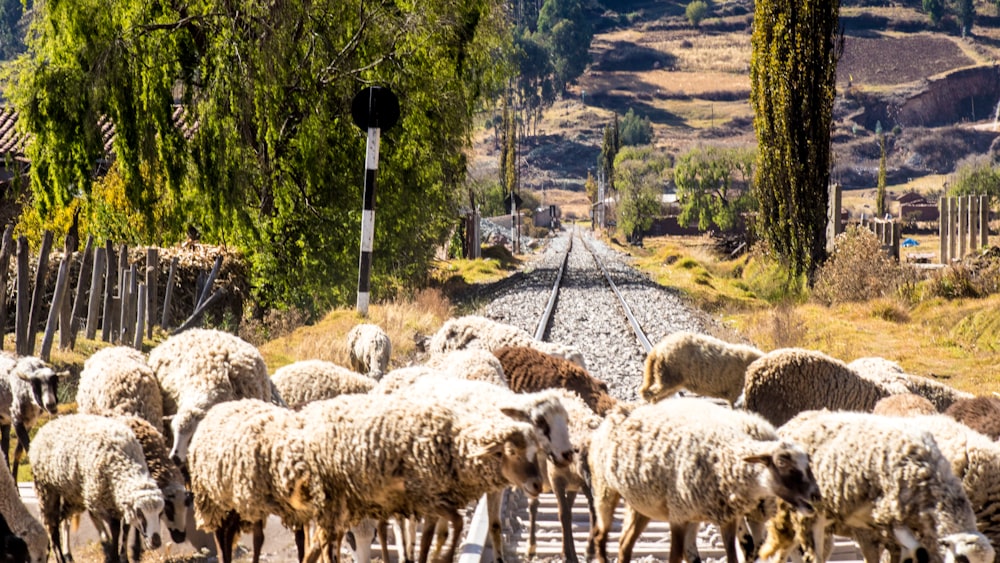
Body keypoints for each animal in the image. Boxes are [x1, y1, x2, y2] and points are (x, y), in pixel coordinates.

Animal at [29, 414, 164, 563]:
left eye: (160, 513)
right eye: (140, 514)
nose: (156, 542)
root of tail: (48, 425)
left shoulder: (119, 504)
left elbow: (125, 529)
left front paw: (123, 556)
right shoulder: (100, 502)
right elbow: (115, 529)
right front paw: (113, 555)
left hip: (74, 495)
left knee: (62, 518)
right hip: (46, 489)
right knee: (51, 525)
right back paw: (59, 557)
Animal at [584, 398, 820, 563]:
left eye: (809, 465)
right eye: (783, 464)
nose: (816, 495)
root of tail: (617, 411)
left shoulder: (728, 518)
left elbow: (736, 555)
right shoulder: (679, 515)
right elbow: (676, 557)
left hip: (641, 504)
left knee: (624, 544)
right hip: (605, 489)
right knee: (600, 536)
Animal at [756, 408, 992, 563]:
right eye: (962, 560)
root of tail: (792, 423)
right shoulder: (889, 518)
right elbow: (918, 551)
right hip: (806, 513)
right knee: (810, 554)